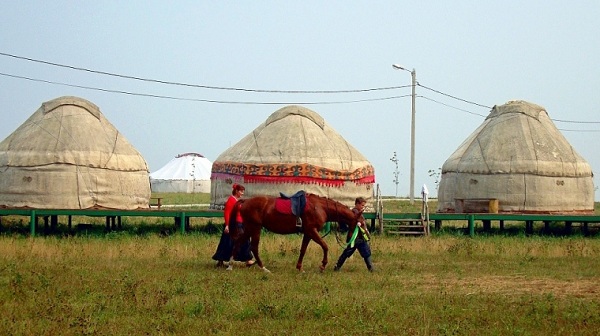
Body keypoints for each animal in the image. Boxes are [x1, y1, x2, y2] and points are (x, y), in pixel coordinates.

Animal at [230, 193, 360, 272]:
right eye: (360, 224)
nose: (350, 239)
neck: (320, 207)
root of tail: (245, 201)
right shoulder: (312, 231)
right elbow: (325, 246)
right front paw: (323, 265)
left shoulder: (308, 233)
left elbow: (303, 250)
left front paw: (299, 268)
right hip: (255, 228)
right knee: (254, 247)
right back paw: (263, 268)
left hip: (249, 228)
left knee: (238, 242)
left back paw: (230, 264)